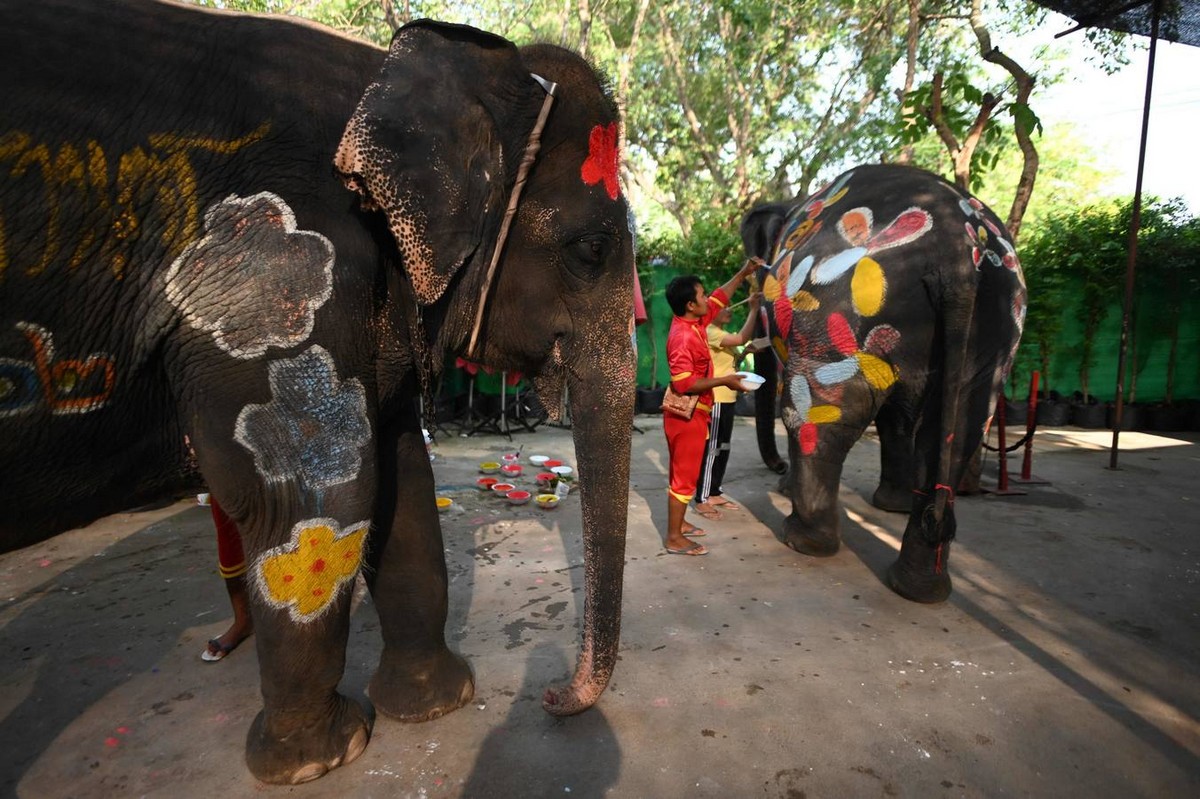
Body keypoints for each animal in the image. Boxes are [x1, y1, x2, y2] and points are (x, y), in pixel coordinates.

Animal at [2, 0, 638, 782]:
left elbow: (399, 473)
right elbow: (315, 496)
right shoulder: (268, 274)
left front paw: (432, 703)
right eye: (591, 250)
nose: (550, 695)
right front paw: (321, 758)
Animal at [734, 164, 1027, 604]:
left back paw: (801, 540)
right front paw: (891, 505)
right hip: (997, 329)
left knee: (817, 417)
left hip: (840, 313)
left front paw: (786, 489)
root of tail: (961, 258)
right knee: (960, 427)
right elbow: (901, 416)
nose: (778, 466)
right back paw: (919, 588)